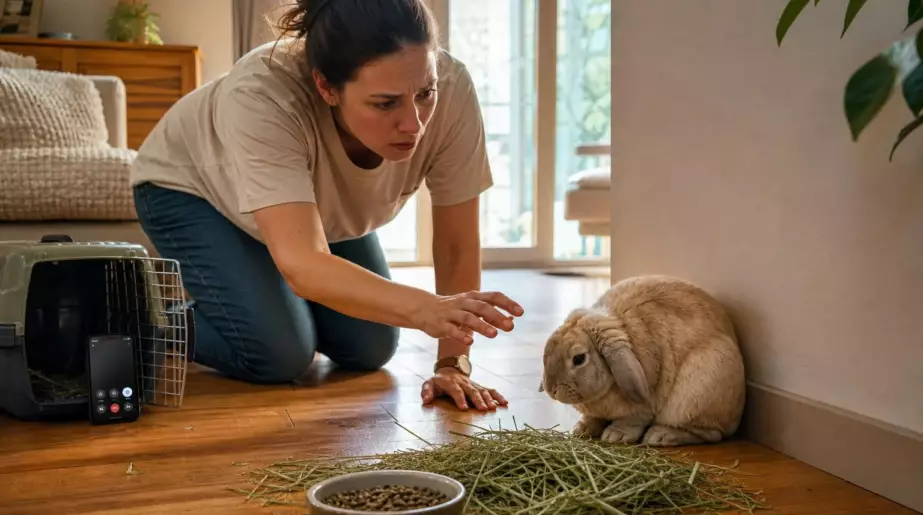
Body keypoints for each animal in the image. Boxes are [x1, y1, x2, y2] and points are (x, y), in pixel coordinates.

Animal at [539, 274, 746, 447]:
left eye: (579, 359)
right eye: (548, 349)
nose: (552, 390)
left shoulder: (642, 408)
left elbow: (633, 419)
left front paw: (615, 435)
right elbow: (593, 418)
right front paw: (582, 429)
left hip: (696, 396)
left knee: (711, 434)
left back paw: (660, 436)